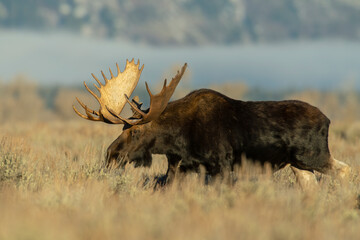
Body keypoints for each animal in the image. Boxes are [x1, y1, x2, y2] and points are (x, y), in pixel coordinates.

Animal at [74, 59, 352, 188]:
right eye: (124, 128)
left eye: (137, 129)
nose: (111, 154)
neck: (175, 140)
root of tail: (328, 120)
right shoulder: (179, 166)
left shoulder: (222, 164)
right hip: (299, 165)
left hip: (313, 156)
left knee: (345, 169)